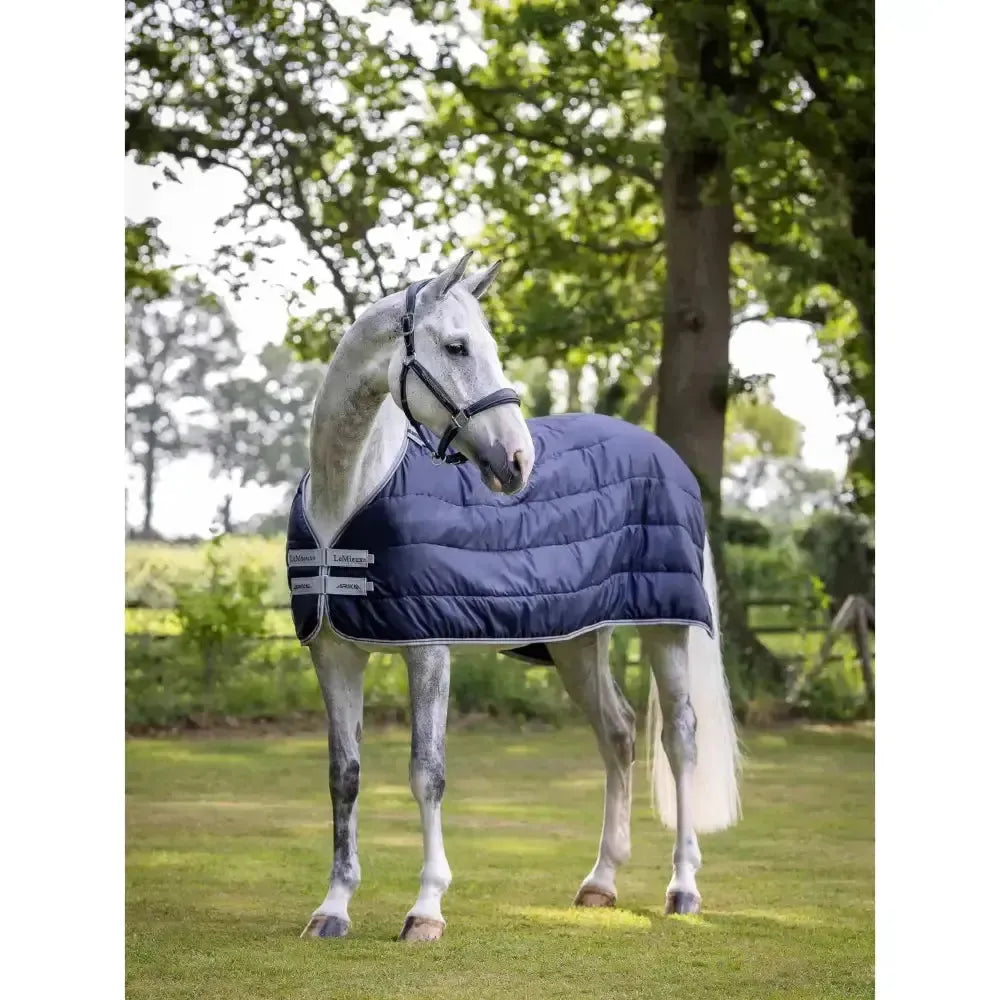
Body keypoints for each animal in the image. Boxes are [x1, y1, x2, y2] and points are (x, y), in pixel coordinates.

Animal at [287, 251, 741, 942]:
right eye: (456, 346)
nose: (519, 461)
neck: (349, 495)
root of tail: (666, 456)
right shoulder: (334, 653)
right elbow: (345, 777)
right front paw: (333, 908)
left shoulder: (428, 648)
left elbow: (426, 774)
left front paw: (426, 910)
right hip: (579, 644)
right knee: (618, 734)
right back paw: (600, 882)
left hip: (666, 630)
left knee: (680, 740)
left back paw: (683, 887)